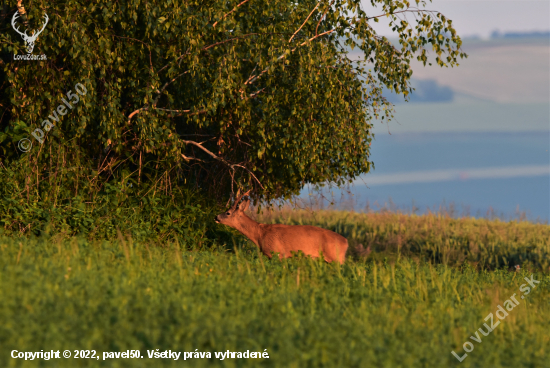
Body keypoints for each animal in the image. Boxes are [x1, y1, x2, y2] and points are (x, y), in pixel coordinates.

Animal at [215, 190, 350, 264]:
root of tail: (346, 242)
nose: (216, 217)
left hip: (336, 257)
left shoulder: (277, 253)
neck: (260, 233)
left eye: (228, 213)